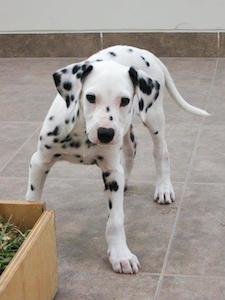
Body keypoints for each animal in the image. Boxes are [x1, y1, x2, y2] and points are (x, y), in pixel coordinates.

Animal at [25, 45, 209, 274]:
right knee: (131, 148)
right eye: (90, 97)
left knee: (161, 152)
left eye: (124, 100)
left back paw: (164, 188)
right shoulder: (39, 162)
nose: (105, 133)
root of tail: (146, 53)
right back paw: (128, 180)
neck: (80, 133)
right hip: (126, 129)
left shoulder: (111, 172)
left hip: (153, 117)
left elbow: (115, 220)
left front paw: (121, 254)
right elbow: (32, 200)